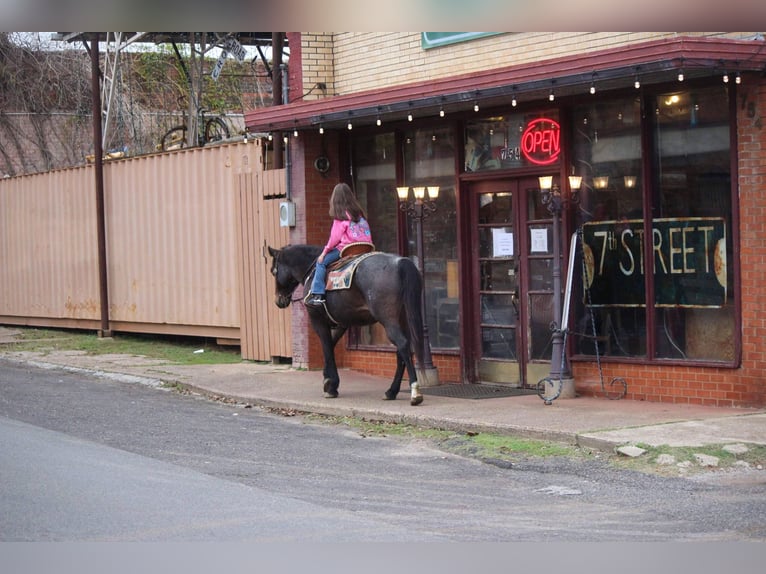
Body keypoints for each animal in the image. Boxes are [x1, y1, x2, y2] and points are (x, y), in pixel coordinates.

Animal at [268, 245, 426, 408]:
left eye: (274, 271)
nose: (279, 300)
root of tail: (400, 263)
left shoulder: (318, 320)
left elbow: (326, 347)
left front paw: (330, 385)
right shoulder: (342, 323)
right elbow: (330, 346)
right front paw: (329, 381)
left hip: (388, 320)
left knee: (402, 344)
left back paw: (415, 392)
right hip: (403, 319)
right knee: (402, 350)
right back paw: (391, 391)